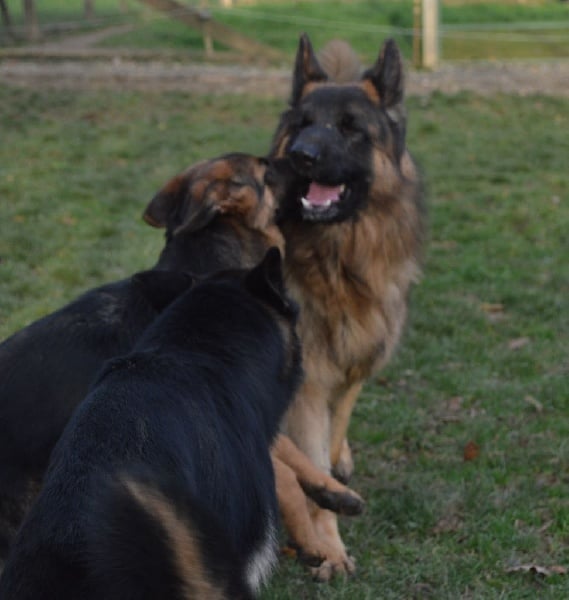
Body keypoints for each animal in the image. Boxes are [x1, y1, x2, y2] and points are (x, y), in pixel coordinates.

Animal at [268, 35, 424, 580]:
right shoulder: (308, 385)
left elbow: (334, 436)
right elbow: (311, 459)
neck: (339, 265)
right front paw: (329, 547)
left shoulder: (355, 361)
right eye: (302, 125)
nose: (301, 156)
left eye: (350, 128)